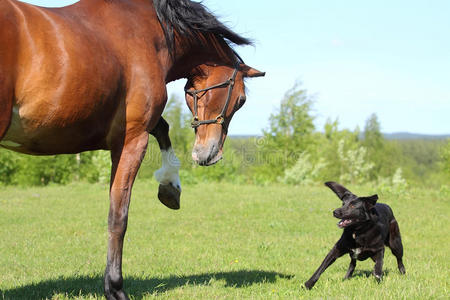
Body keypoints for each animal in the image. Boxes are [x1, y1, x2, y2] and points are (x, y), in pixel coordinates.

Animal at [0, 0, 264, 298]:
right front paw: (115, 287)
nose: (210, 155)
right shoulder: (132, 139)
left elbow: (163, 128)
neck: (151, 33)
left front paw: (170, 185)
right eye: (241, 100)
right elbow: (118, 216)